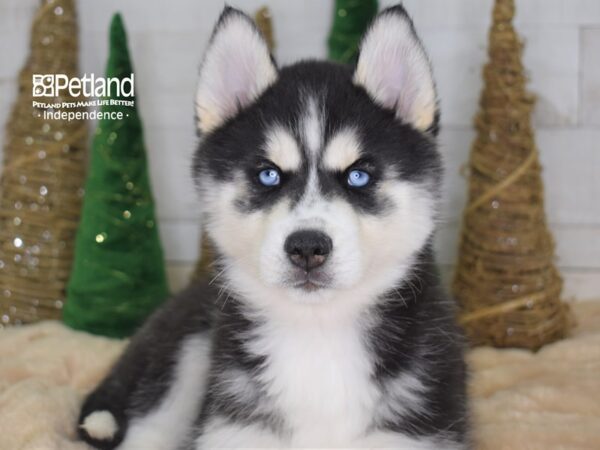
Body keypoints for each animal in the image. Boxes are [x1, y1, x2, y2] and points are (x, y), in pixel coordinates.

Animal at [76, 4, 468, 450]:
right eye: (268, 175)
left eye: (358, 176)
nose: (307, 247)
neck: (318, 332)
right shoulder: (233, 430)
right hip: (186, 355)